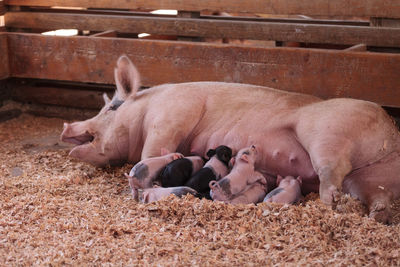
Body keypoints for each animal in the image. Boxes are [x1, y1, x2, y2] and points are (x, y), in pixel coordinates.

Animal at [60, 55, 400, 223]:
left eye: (112, 107)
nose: (66, 127)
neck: (145, 108)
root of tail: (390, 134)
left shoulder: (173, 114)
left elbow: (152, 150)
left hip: (328, 137)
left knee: (331, 177)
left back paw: (329, 207)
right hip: (370, 178)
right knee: (376, 197)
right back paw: (377, 215)